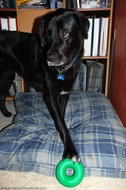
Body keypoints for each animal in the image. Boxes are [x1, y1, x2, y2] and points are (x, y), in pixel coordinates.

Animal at [0, 8, 89, 160]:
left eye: (65, 32)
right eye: (47, 35)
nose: (49, 59)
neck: (63, 69)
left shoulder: (64, 94)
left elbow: (61, 117)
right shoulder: (50, 96)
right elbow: (62, 124)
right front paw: (70, 150)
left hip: (8, 75)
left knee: (1, 96)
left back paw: (6, 113)